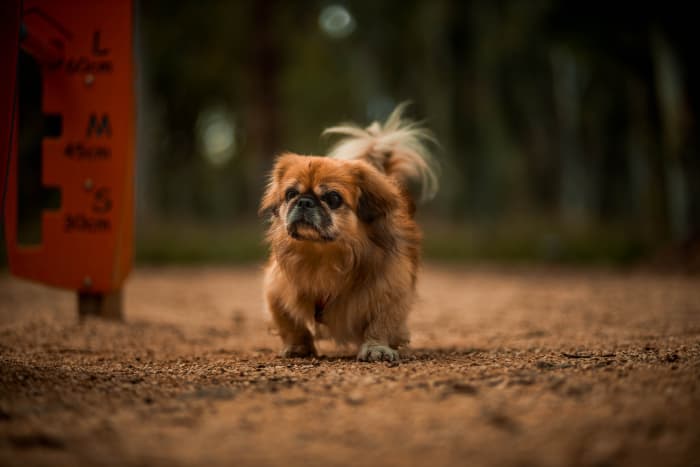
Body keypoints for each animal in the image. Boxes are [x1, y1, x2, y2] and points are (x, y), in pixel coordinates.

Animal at [262, 105, 438, 362]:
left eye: (333, 198)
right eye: (291, 194)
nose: (304, 201)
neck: (322, 256)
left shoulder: (391, 288)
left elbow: (381, 323)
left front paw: (376, 348)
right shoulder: (276, 288)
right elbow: (290, 323)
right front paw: (297, 347)